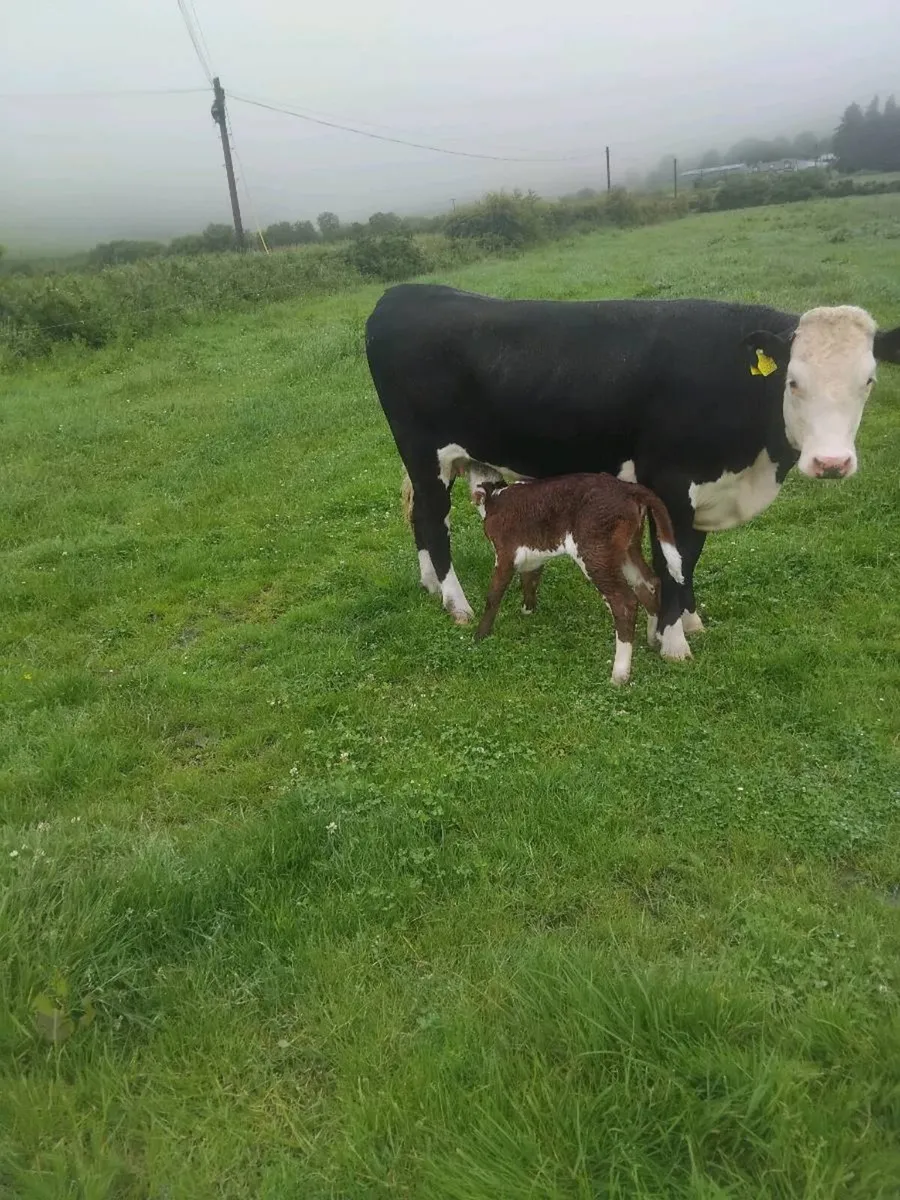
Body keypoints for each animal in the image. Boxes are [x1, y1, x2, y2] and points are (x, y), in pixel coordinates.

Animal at [365, 284, 900, 661]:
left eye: (868, 381)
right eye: (793, 382)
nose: (831, 463)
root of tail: (402, 293)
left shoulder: (700, 490)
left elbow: (688, 558)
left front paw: (683, 621)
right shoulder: (672, 482)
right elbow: (672, 560)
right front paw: (671, 642)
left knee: (421, 519)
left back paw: (431, 586)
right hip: (425, 454)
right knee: (434, 522)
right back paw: (457, 604)